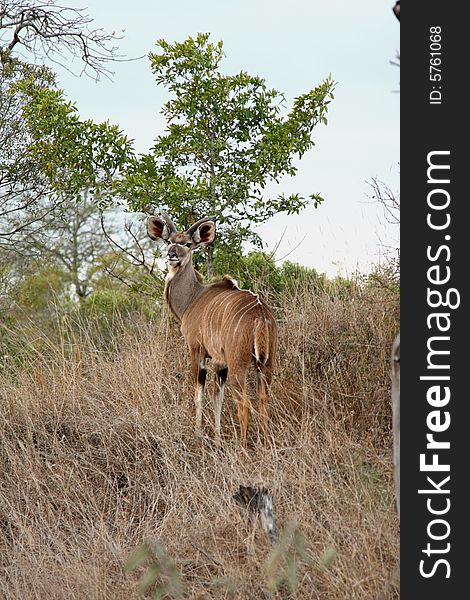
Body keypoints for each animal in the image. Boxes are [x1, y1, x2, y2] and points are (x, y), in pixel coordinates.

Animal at [149, 214, 278, 446]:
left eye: (187, 244)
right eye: (169, 241)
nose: (172, 255)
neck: (192, 299)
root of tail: (261, 314)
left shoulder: (197, 350)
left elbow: (199, 394)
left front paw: (198, 435)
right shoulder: (220, 363)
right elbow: (218, 397)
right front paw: (217, 439)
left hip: (239, 365)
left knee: (244, 404)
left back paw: (242, 448)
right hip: (266, 364)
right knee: (264, 401)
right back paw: (265, 445)